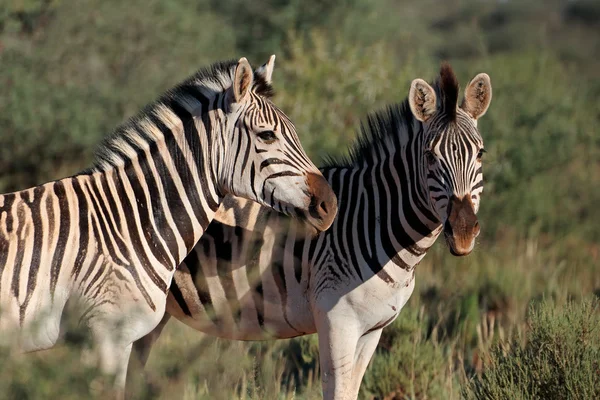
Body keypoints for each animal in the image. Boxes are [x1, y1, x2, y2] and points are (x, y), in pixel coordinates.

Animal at [131, 64, 492, 398]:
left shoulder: (373, 329)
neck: (376, 221)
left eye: (480, 153)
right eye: (430, 156)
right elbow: (337, 391)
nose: (463, 232)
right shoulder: (336, 321)